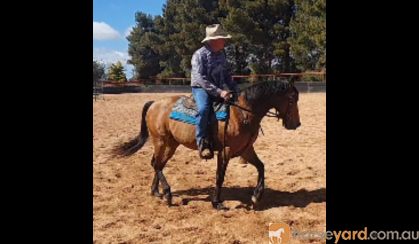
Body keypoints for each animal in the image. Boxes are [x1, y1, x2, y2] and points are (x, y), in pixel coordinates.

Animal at [111, 80, 302, 210]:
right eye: (292, 99)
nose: (296, 124)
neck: (241, 113)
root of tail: (154, 104)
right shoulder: (225, 151)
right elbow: (220, 176)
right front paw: (217, 202)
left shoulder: (246, 149)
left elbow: (261, 167)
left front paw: (256, 197)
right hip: (162, 141)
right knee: (157, 164)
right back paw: (167, 194)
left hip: (170, 144)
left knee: (156, 164)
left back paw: (156, 191)